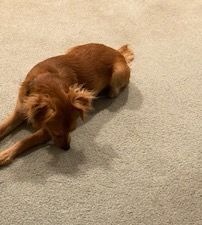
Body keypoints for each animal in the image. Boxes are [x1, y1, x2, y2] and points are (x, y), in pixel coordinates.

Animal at [0, 43, 134, 165]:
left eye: (72, 130)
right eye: (57, 133)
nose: (67, 148)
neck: (47, 79)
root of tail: (118, 52)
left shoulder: (45, 131)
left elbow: (27, 140)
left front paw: (5, 154)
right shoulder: (20, 110)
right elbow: (5, 127)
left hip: (117, 75)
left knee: (113, 91)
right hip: (72, 49)